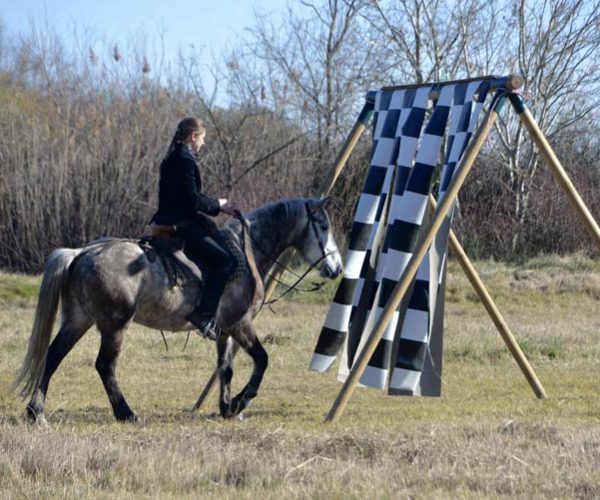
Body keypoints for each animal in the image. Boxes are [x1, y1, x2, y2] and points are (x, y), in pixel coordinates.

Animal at [14, 197, 342, 424]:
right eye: (324, 227)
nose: (336, 269)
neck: (244, 251)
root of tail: (81, 252)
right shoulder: (240, 324)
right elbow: (262, 360)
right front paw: (241, 402)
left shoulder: (224, 329)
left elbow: (226, 367)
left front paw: (226, 407)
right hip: (115, 325)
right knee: (105, 366)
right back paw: (126, 413)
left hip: (77, 319)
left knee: (53, 356)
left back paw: (36, 411)